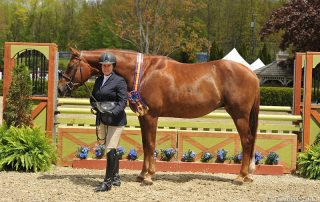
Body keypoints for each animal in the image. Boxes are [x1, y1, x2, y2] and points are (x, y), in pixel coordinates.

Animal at [58, 47, 260, 185]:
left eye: (71, 66)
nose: (60, 88)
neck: (143, 71)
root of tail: (252, 74)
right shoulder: (143, 116)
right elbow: (145, 144)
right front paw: (142, 174)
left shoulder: (151, 116)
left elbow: (150, 144)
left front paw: (148, 176)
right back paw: (248, 175)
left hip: (239, 115)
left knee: (247, 141)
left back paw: (241, 176)